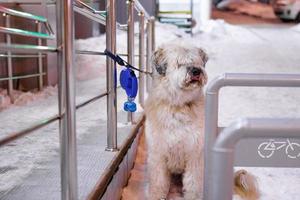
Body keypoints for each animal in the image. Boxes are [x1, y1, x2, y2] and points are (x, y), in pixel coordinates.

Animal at [144, 43, 258, 199]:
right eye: (179, 62)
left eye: (196, 62)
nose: (196, 71)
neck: (180, 106)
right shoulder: (158, 154)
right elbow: (158, 182)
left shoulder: (195, 153)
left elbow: (193, 183)